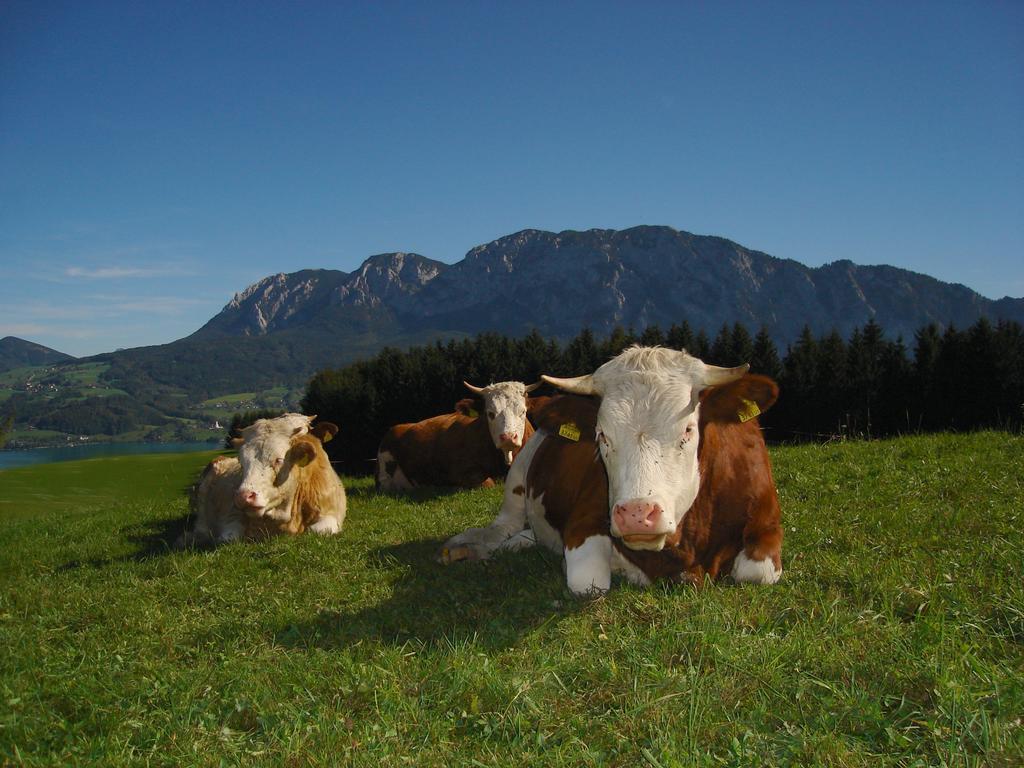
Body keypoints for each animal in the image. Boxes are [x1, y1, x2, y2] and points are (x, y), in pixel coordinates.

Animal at [177, 415, 348, 548]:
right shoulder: (231, 515)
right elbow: (229, 537)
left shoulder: (331, 512)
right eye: (242, 462)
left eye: (279, 460)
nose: (244, 497)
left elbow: (318, 531)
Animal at [440, 346, 782, 598]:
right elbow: (588, 582)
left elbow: (756, 573)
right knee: (502, 527)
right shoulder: (586, 520)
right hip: (516, 481)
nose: (636, 514)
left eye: (687, 430)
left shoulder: (766, 521)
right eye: (602, 435)